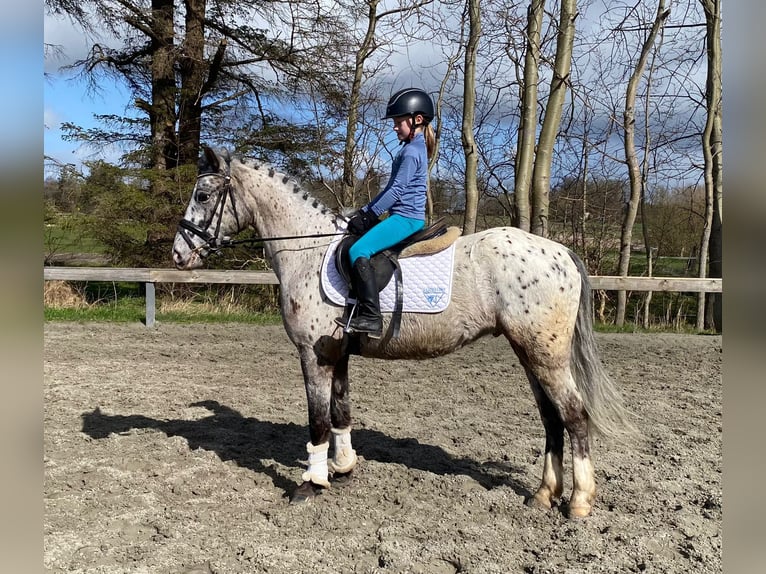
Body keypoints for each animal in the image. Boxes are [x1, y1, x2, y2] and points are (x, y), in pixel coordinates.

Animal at [174, 147, 636, 516]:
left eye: (203, 195)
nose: (179, 255)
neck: (307, 249)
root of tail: (559, 251)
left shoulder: (313, 354)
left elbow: (318, 420)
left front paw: (311, 483)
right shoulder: (338, 353)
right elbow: (341, 412)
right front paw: (343, 468)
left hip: (546, 356)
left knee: (574, 416)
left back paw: (578, 503)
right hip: (531, 354)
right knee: (552, 419)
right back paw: (542, 495)